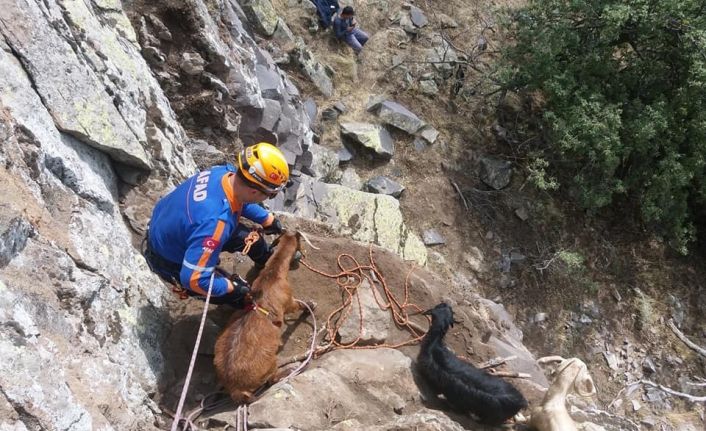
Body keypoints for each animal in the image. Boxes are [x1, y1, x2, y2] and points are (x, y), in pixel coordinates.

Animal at [212, 231, 306, 404]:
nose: (300, 256)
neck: (272, 274)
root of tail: (236, 388)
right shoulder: (289, 301)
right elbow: (297, 305)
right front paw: (310, 306)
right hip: (270, 364)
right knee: (272, 378)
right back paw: (288, 370)